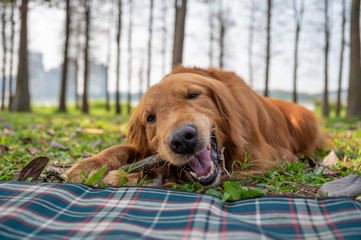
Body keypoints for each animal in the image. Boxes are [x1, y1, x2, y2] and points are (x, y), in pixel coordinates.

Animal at [65, 66, 324, 187]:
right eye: (150, 118)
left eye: (193, 95)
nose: (182, 139)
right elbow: (121, 149)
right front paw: (88, 166)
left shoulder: (268, 160)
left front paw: (124, 176)